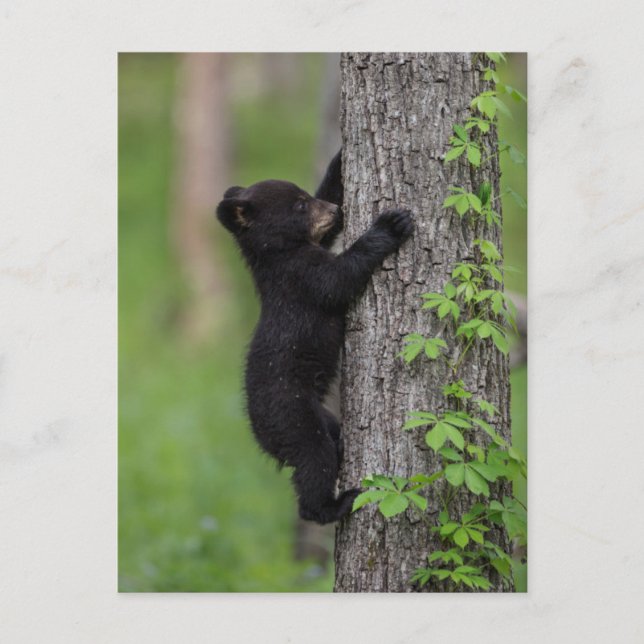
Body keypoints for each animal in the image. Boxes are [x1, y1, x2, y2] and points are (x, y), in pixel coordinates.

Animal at [216, 151, 413, 524]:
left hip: (319, 416)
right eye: (299, 205)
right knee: (313, 460)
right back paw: (336, 504)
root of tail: (257, 435)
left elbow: (330, 233)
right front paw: (390, 225)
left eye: (306, 196)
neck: (278, 253)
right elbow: (339, 278)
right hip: (293, 416)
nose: (334, 210)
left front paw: (340, 162)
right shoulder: (300, 276)